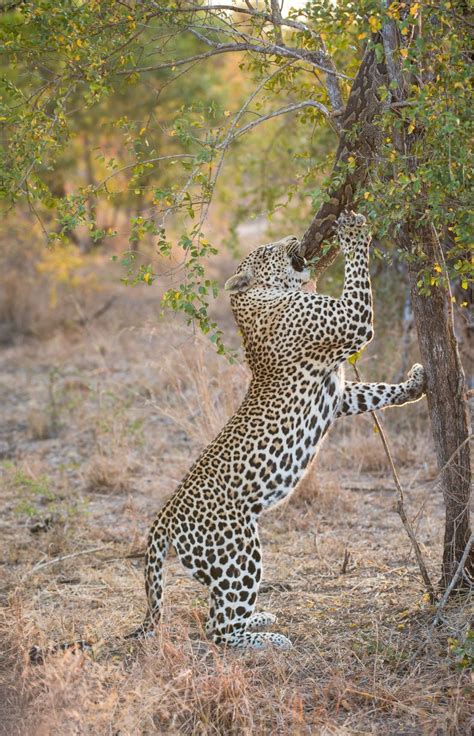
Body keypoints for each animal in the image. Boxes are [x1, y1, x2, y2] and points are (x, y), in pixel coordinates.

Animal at [137, 211, 426, 651]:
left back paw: (261, 618)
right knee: (219, 630)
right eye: (266, 249)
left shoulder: (339, 395)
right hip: (238, 552)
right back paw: (270, 640)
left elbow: (376, 394)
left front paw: (416, 383)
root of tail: (165, 518)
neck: (250, 302)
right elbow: (358, 274)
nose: (293, 237)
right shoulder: (351, 322)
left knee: (216, 616)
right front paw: (353, 230)